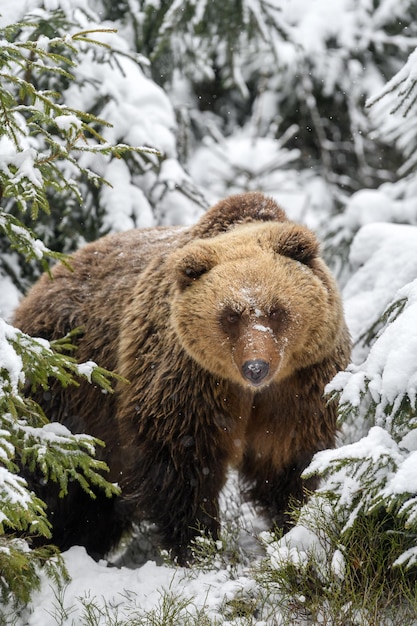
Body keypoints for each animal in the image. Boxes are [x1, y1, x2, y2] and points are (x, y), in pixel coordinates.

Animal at [13, 190, 350, 560]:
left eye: (277, 311)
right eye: (230, 316)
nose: (256, 366)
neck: (247, 392)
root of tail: (37, 289)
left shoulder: (300, 383)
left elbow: (286, 458)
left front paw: (293, 525)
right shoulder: (188, 379)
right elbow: (182, 462)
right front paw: (198, 544)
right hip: (63, 388)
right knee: (50, 478)